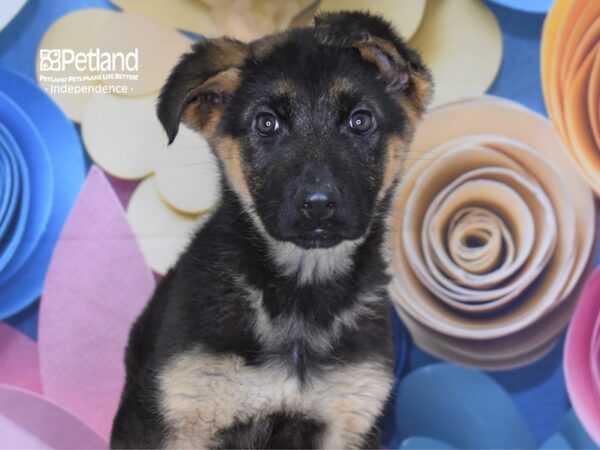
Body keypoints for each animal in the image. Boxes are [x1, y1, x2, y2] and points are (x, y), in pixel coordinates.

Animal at [111, 11, 432, 450]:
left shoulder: (347, 421)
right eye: (267, 123)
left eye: (360, 120)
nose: (318, 204)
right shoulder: (180, 418)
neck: (299, 297)